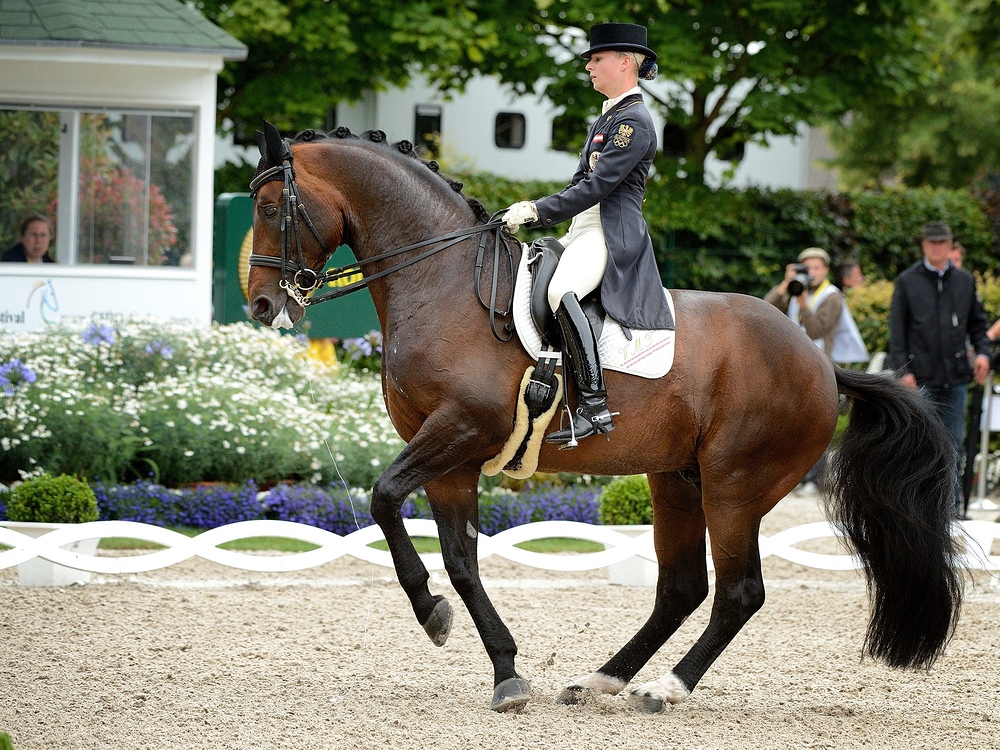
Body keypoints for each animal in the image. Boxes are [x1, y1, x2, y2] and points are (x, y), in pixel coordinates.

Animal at [246, 123, 964, 716]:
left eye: (271, 207)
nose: (259, 304)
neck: (442, 282)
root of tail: (820, 363)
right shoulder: (452, 458)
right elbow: (460, 560)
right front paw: (504, 670)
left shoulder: (457, 431)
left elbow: (385, 497)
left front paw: (431, 615)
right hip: (677, 480)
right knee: (681, 588)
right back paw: (602, 679)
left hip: (734, 485)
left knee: (739, 592)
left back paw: (664, 688)